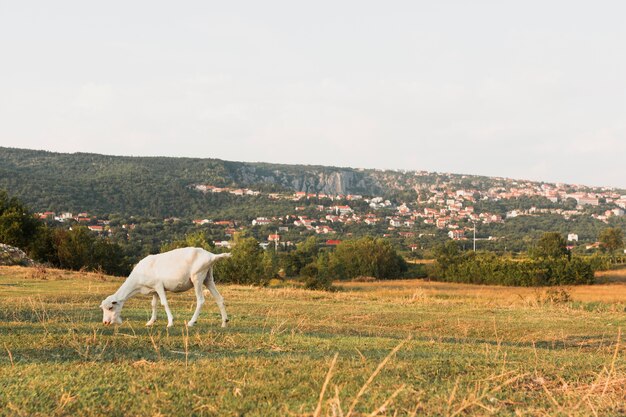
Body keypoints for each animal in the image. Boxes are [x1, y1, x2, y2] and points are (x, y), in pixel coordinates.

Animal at [98, 247, 230, 324]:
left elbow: (164, 303)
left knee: (201, 300)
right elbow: (154, 304)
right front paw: (151, 322)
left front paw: (170, 322)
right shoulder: (154, 290)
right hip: (208, 278)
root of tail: (211, 256)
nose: (105, 322)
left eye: (110, 307)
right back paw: (224, 322)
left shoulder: (159, 286)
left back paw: (191, 322)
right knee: (219, 298)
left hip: (197, 277)